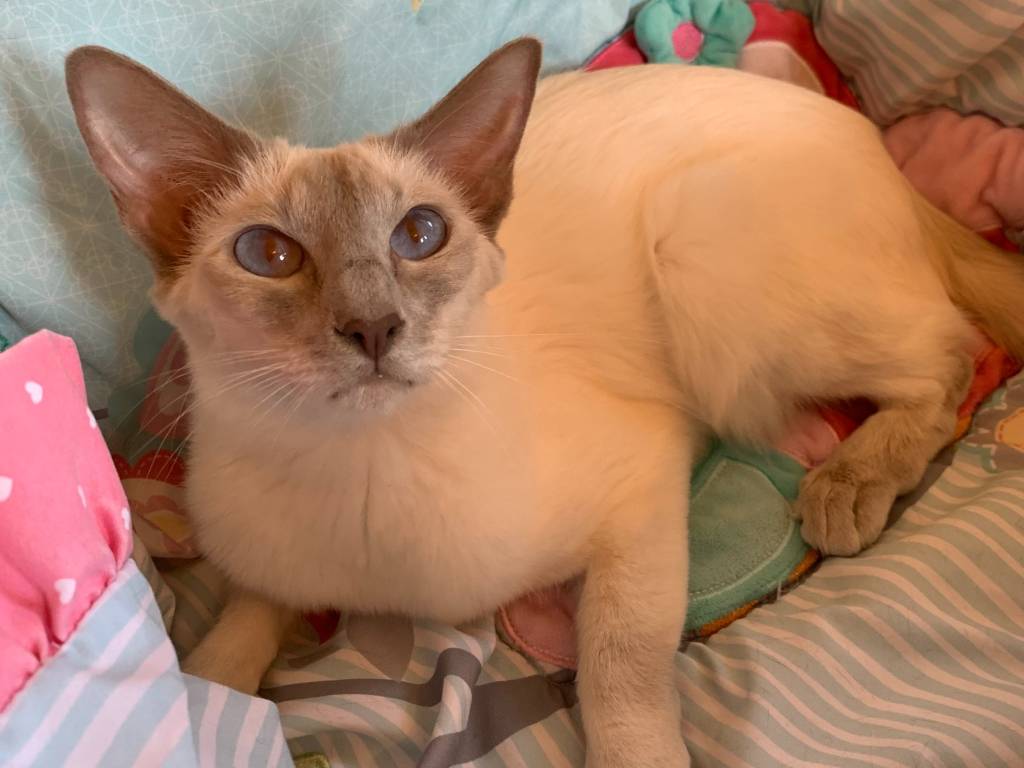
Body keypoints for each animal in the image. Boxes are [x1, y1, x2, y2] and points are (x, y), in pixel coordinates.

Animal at [66, 39, 1024, 768]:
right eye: (268, 255)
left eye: (419, 235)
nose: (373, 327)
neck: (361, 480)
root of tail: (872, 140)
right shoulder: (263, 567)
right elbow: (228, 646)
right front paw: (203, 706)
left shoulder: (640, 490)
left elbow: (617, 668)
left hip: (698, 255)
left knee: (956, 352)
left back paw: (844, 487)